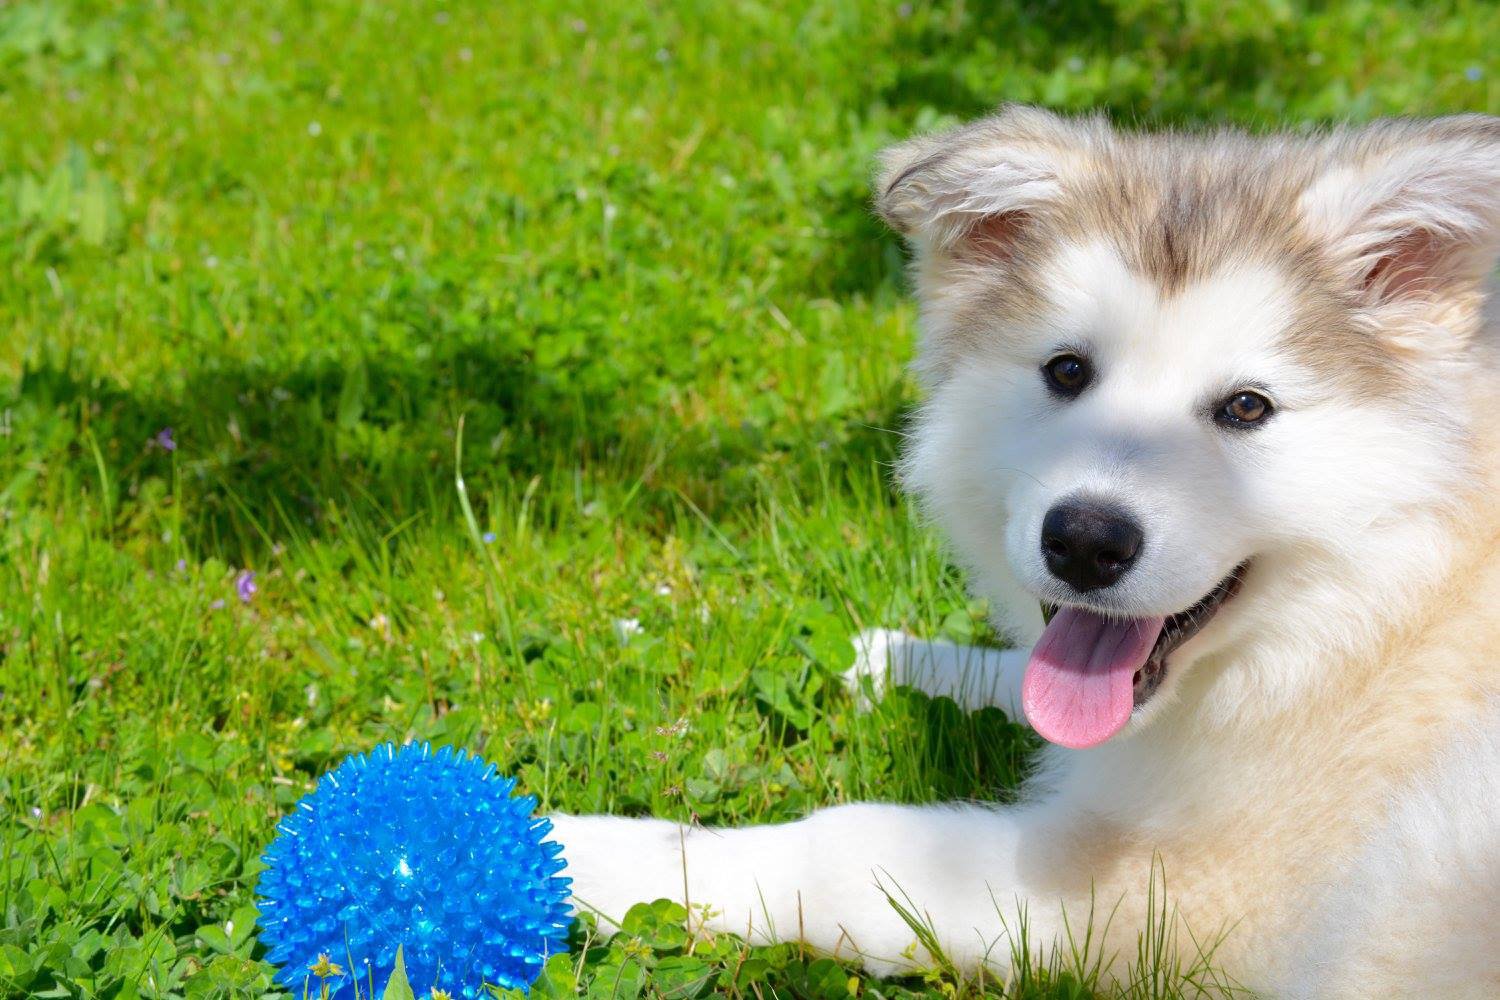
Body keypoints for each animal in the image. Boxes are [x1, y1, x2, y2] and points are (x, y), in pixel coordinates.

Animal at [558, 105, 1500, 995]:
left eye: (1245, 408)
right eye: (1067, 372)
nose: (1085, 543)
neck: (1380, 615)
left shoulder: (1176, 896)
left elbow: (844, 849)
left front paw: (584, 852)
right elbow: (1027, 680)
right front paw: (895, 659)